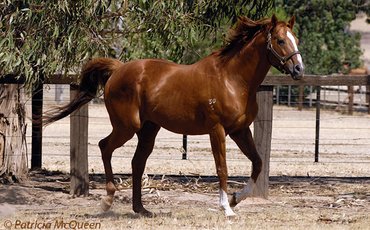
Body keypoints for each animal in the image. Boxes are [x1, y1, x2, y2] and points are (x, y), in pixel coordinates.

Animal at [43, 15, 304, 217]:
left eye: (296, 40)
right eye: (280, 40)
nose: (299, 70)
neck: (232, 79)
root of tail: (118, 70)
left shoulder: (240, 130)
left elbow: (257, 163)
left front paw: (234, 199)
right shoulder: (217, 130)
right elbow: (222, 168)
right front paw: (226, 208)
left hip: (148, 130)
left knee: (137, 162)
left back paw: (141, 209)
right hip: (126, 126)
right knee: (104, 146)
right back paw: (108, 200)